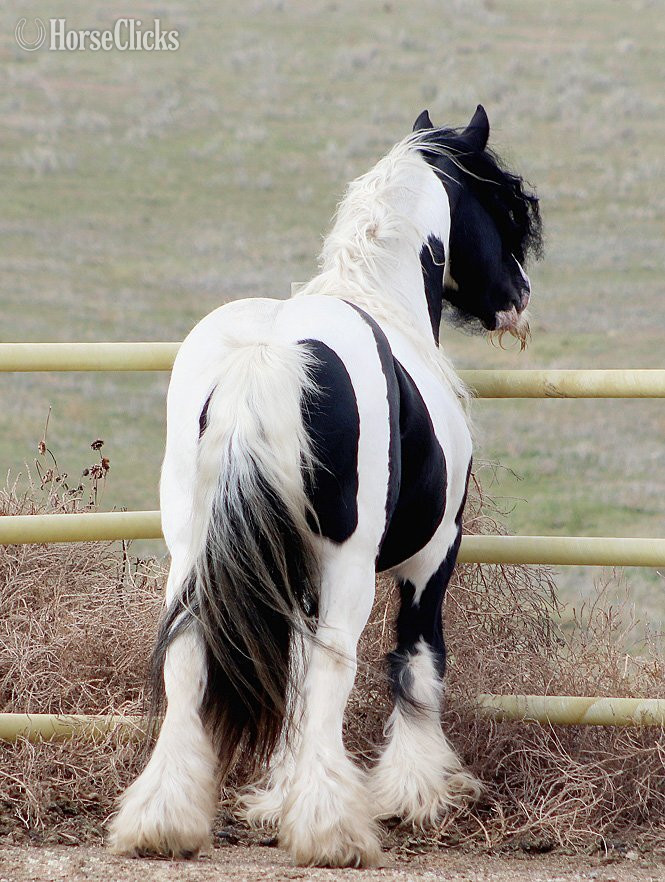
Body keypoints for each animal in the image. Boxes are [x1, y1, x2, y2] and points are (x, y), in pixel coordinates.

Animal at [108, 105, 542, 868]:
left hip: (191, 554)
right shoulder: (435, 555)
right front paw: (414, 793)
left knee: (186, 658)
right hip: (349, 568)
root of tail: (269, 355)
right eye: (505, 206)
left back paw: (165, 821)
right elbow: (417, 660)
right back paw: (331, 830)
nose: (516, 301)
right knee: (332, 664)